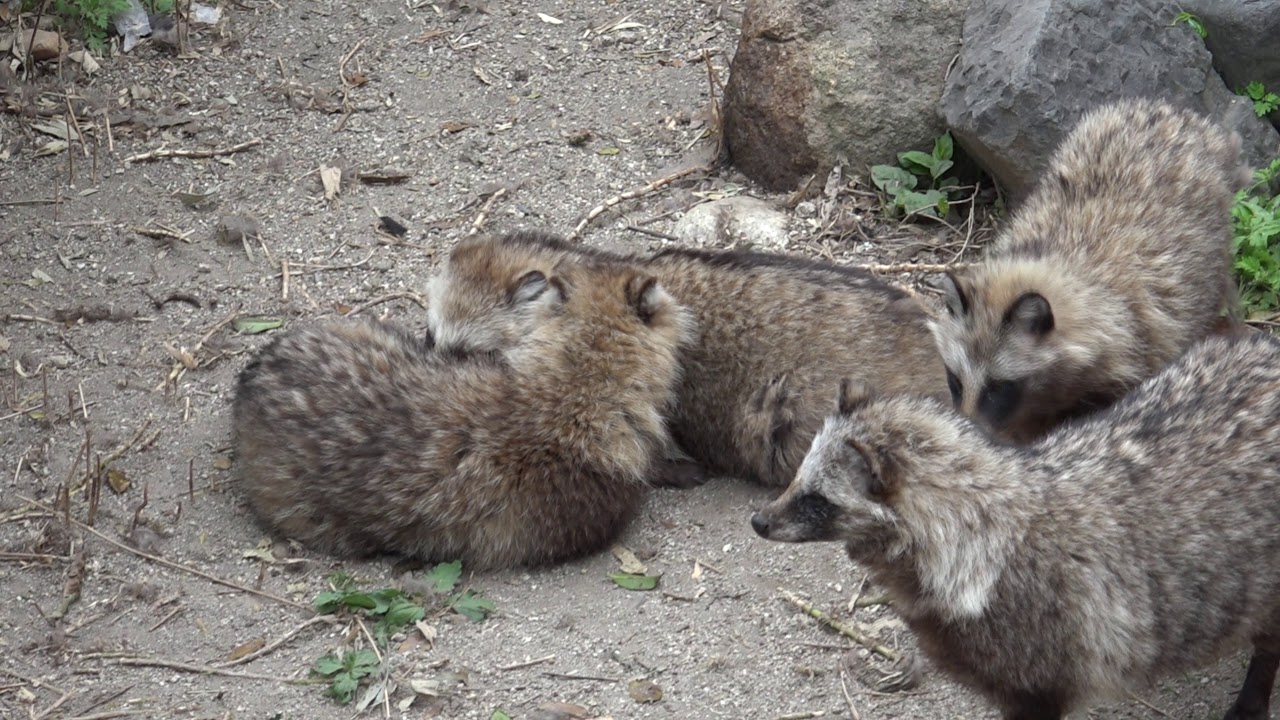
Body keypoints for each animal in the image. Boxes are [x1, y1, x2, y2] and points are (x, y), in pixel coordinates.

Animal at [930, 98, 1250, 444]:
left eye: (998, 387)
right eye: (955, 381)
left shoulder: (1143, 342)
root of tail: (1174, 111)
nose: (965, 430)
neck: (1055, 260)